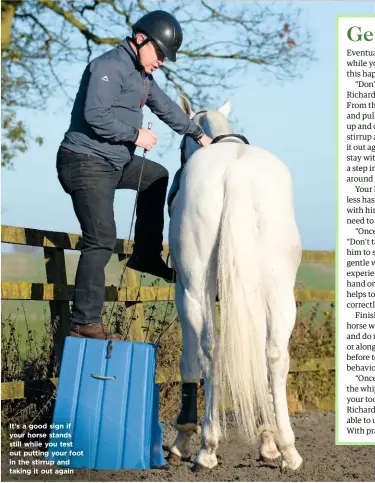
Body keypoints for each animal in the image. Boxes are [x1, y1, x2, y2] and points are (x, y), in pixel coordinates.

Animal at [169, 97, 304, 472]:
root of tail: (237, 172)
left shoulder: (182, 293)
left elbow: (189, 361)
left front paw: (182, 439)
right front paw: (268, 442)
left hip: (195, 294)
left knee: (209, 350)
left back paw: (206, 448)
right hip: (279, 293)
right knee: (274, 355)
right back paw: (288, 449)